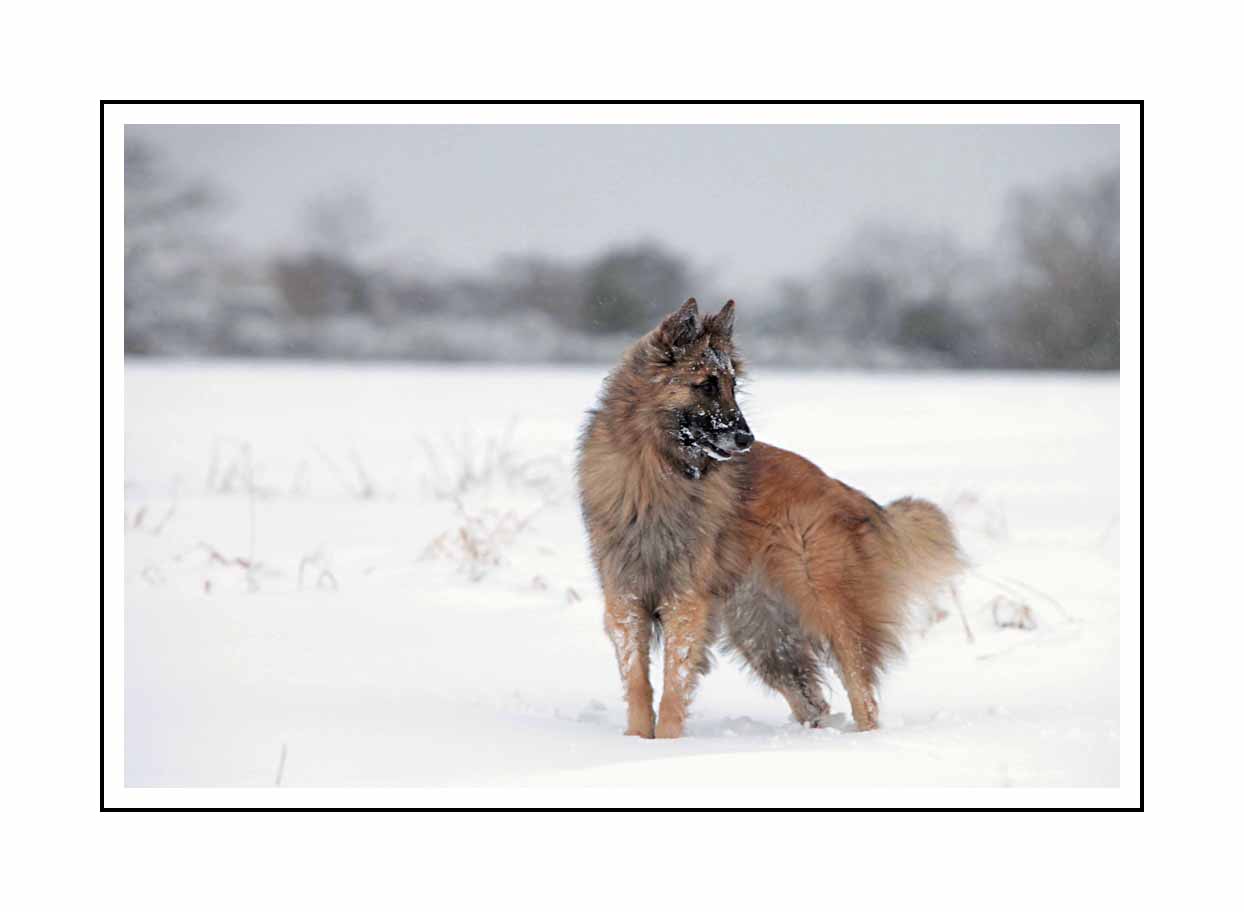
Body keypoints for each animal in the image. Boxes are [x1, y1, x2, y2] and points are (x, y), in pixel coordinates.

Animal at [577, 298, 965, 741]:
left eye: (733, 386)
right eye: (707, 385)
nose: (746, 440)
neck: (657, 469)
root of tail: (846, 492)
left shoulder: (685, 602)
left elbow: (675, 684)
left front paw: (667, 745)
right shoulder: (625, 600)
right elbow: (638, 683)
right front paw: (639, 742)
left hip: (829, 607)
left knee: (862, 692)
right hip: (763, 634)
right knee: (813, 701)